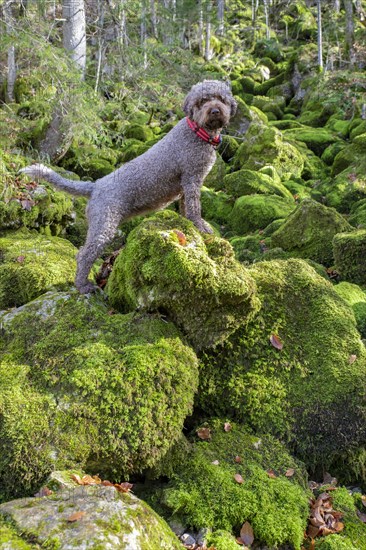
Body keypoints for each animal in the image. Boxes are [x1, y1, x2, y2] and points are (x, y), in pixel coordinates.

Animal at [20, 80, 237, 296]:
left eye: (221, 99)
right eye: (202, 101)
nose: (215, 110)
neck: (197, 132)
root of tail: (95, 186)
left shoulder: (186, 184)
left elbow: (186, 208)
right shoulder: (192, 178)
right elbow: (194, 208)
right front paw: (201, 226)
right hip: (104, 224)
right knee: (84, 254)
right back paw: (83, 286)